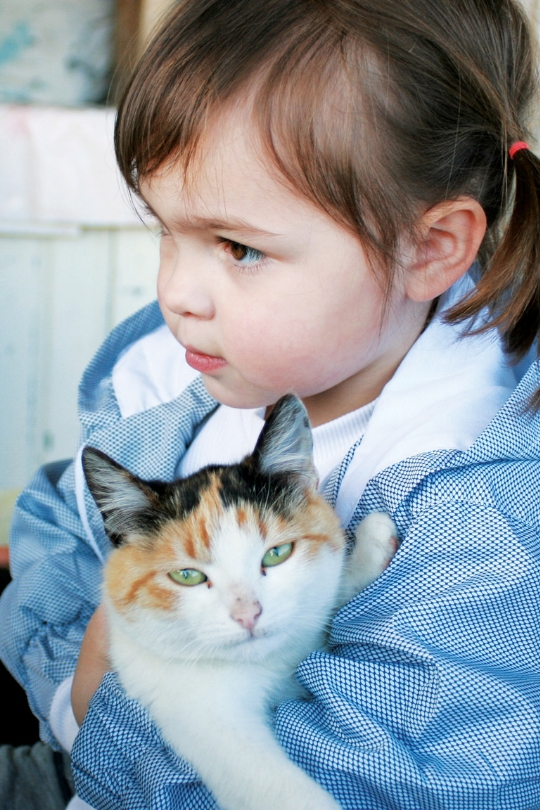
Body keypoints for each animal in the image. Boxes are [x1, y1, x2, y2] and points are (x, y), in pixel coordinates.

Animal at [83, 392, 396, 808]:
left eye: (277, 553)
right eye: (187, 576)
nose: (249, 614)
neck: (268, 667)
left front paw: (369, 545)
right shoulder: (200, 715)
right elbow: (275, 787)